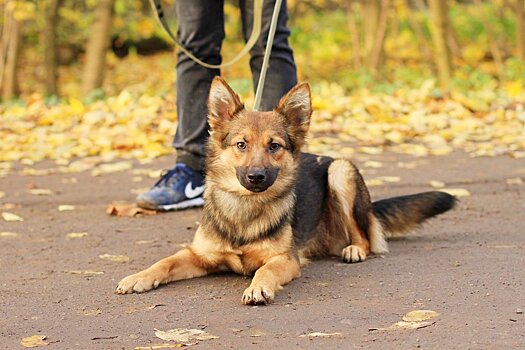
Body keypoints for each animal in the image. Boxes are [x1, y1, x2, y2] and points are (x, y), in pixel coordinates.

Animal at [115, 76, 454, 304]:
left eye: (274, 146)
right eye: (241, 145)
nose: (256, 177)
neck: (245, 208)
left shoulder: (285, 260)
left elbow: (263, 271)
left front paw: (257, 287)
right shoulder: (197, 256)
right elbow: (165, 262)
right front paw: (138, 278)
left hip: (340, 171)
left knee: (365, 235)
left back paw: (354, 249)